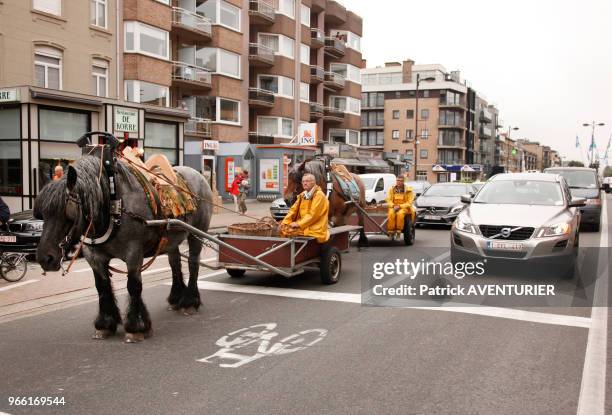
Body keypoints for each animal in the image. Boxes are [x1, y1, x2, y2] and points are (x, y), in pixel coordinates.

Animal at [35, 157, 215, 344]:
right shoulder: (94, 256)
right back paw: (176, 298)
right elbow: (102, 286)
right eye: (43, 214)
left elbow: (134, 286)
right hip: (171, 237)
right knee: (175, 263)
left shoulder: (133, 253)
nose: (45, 258)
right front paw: (105, 324)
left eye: (67, 212)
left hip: (196, 234)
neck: (114, 204)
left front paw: (137, 326)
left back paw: (190, 302)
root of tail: (199, 175)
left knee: (193, 263)